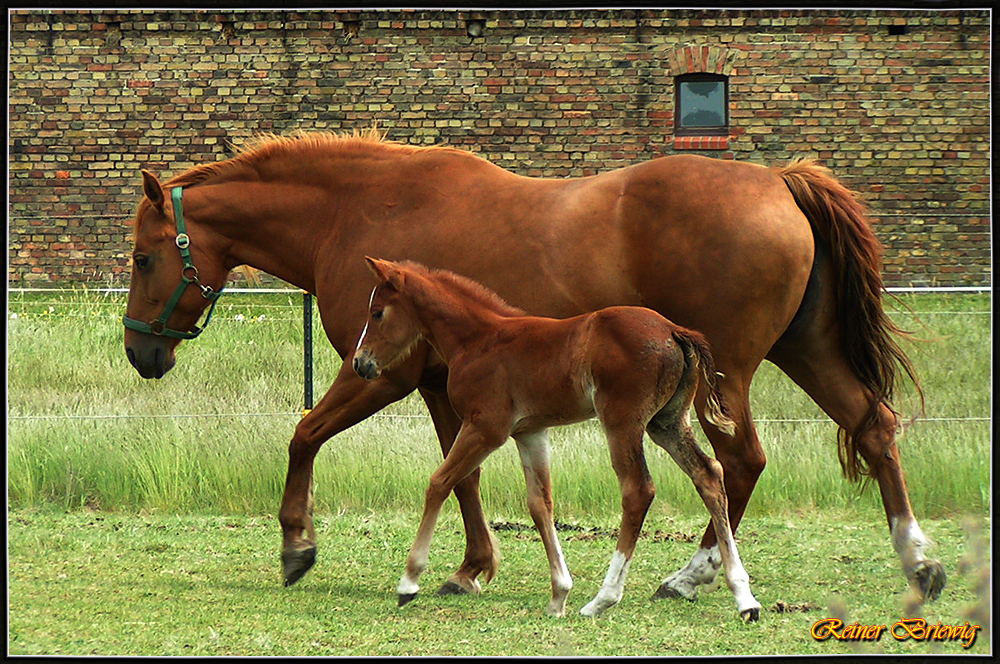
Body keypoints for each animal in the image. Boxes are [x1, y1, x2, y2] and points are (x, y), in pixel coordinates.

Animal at [125, 127, 944, 604]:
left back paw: (694, 575)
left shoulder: (382, 373)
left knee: (738, 462)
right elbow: (463, 475)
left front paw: (298, 544)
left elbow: (305, 435)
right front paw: (470, 566)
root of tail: (778, 182)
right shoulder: (444, 385)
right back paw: (916, 559)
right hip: (806, 351)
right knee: (874, 427)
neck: (354, 207)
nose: (139, 349)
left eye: (142, 258)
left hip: (726, 380)